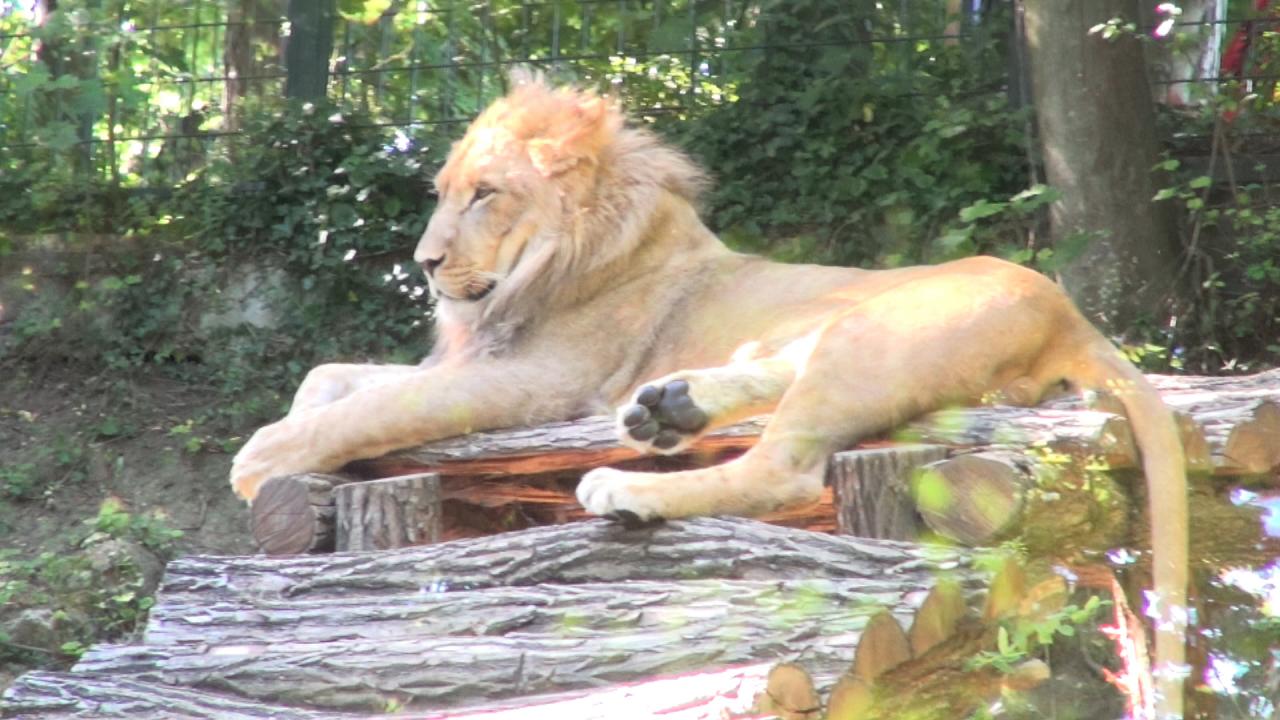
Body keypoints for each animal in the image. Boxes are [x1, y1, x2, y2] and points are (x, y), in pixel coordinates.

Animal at [232, 71, 1187, 712]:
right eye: (441, 194)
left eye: (486, 195)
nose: (426, 264)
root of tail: (1068, 310)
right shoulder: (474, 357)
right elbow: (332, 375)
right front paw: (294, 421)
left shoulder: (532, 381)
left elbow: (376, 405)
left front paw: (258, 459)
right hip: (821, 326)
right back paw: (667, 408)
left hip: (867, 334)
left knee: (783, 467)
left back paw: (628, 480)